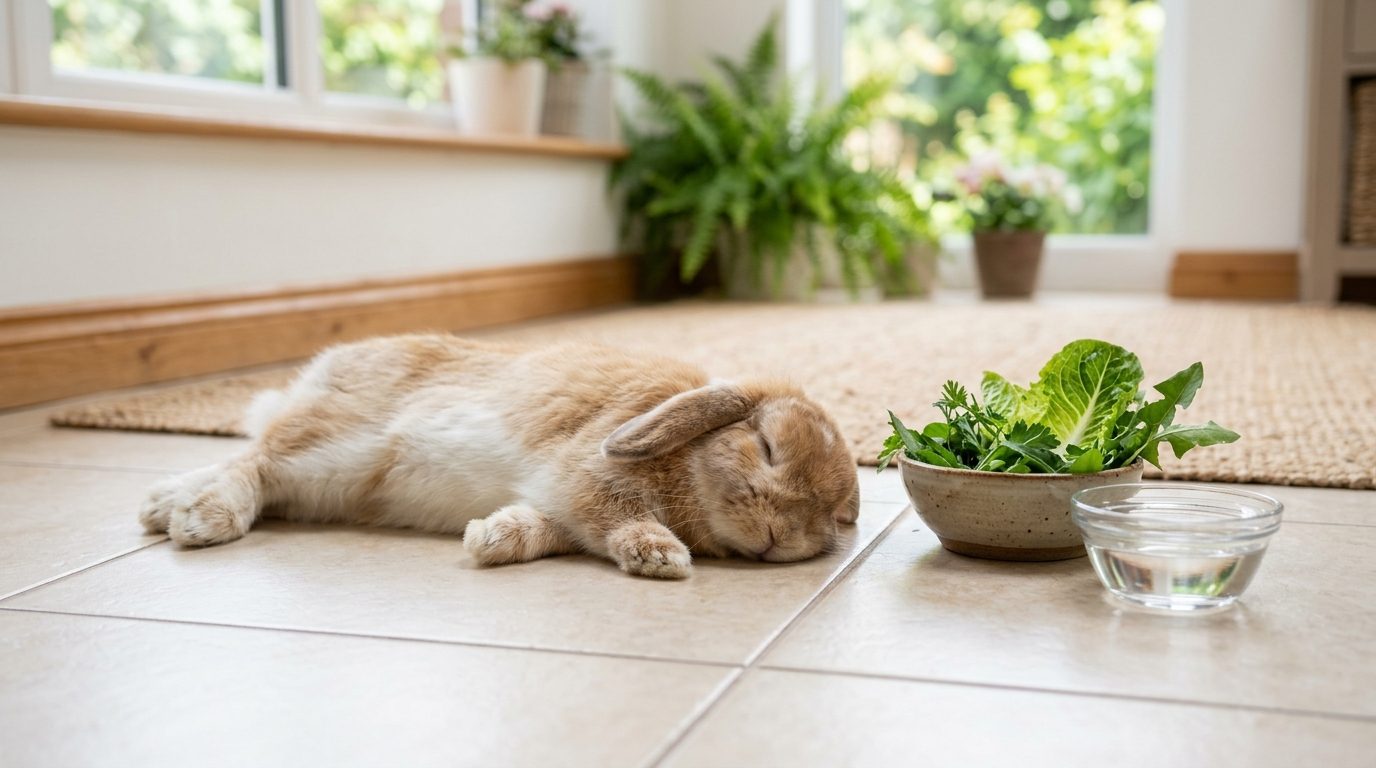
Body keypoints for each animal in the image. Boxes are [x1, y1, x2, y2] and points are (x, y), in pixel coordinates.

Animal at [138, 334, 861, 579]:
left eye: (833, 514)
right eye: (766, 447)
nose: (777, 538)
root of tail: (314, 375)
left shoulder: (561, 508)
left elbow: (547, 528)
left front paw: (490, 538)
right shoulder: (589, 474)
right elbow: (615, 513)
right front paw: (660, 557)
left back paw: (160, 506)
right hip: (332, 444)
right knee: (253, 462)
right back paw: (198, 515)